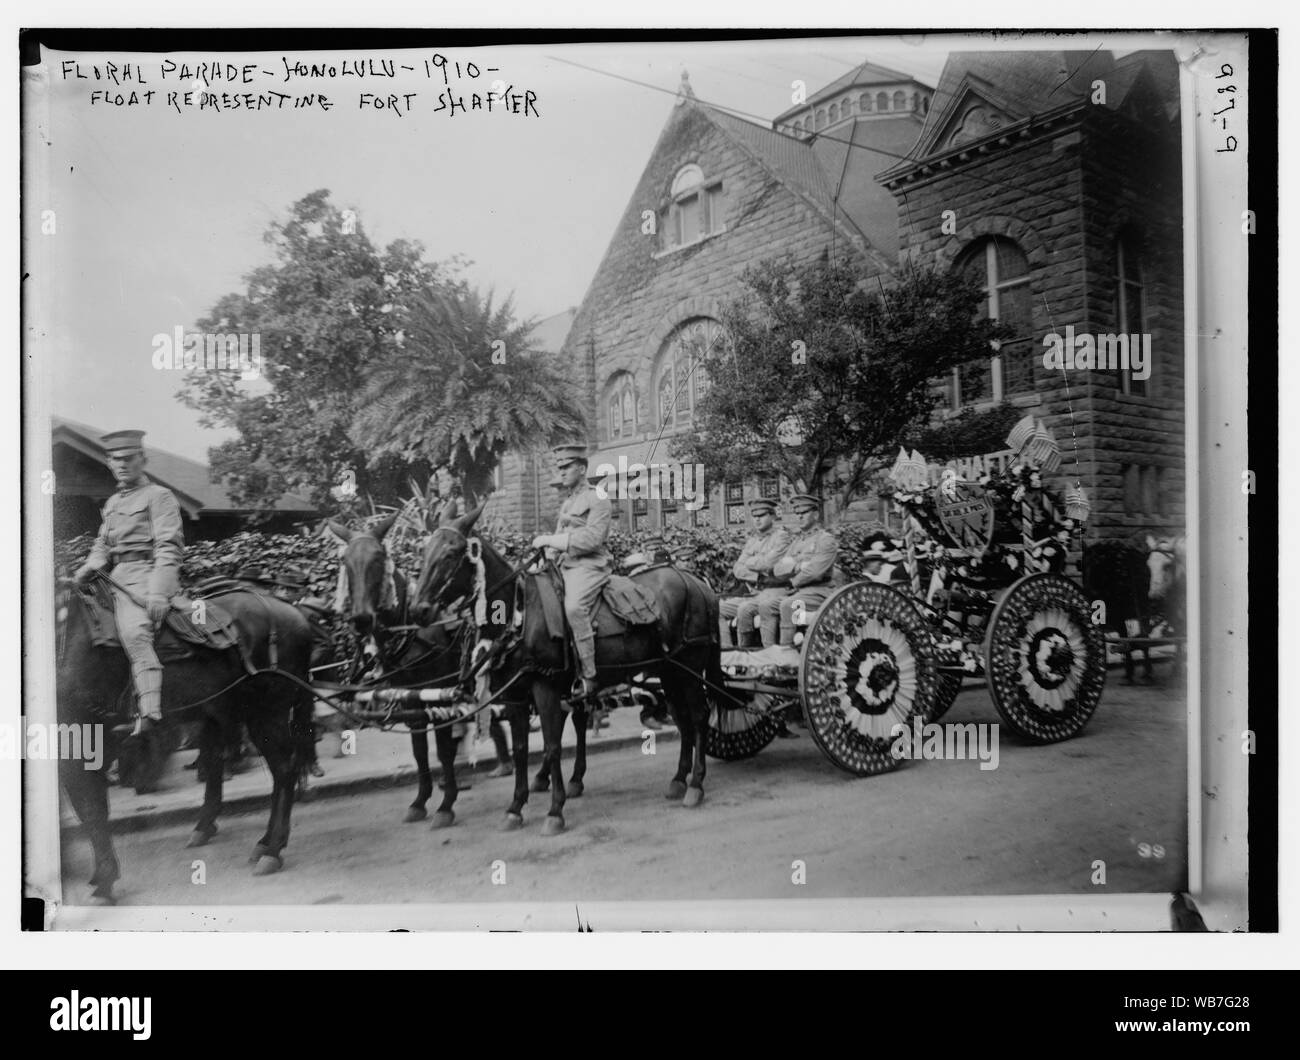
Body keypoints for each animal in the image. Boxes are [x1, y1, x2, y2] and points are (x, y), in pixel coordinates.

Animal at [55, 572, 319, 905]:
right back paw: (235, 835)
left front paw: (104, 879)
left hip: (267, 712)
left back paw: (270, 850)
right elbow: (87, 810)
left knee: (283, 770)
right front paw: (98, 877)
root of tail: (293, 610)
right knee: (233, 764)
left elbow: (91, 810)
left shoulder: (80, 747)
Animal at [413, 502, 722, 832]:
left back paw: (695, 785)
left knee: (699, 716)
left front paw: (555, 811)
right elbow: (520, 749)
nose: (419, 610)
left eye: (451, 553)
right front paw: (515, 806)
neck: (520, 613)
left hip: (689, 668)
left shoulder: (546, 688)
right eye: (425, 550)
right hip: (670, 672)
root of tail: (699, 584)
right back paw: (678, 779)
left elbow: (552, 745)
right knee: (682, 719)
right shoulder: (516, 696)